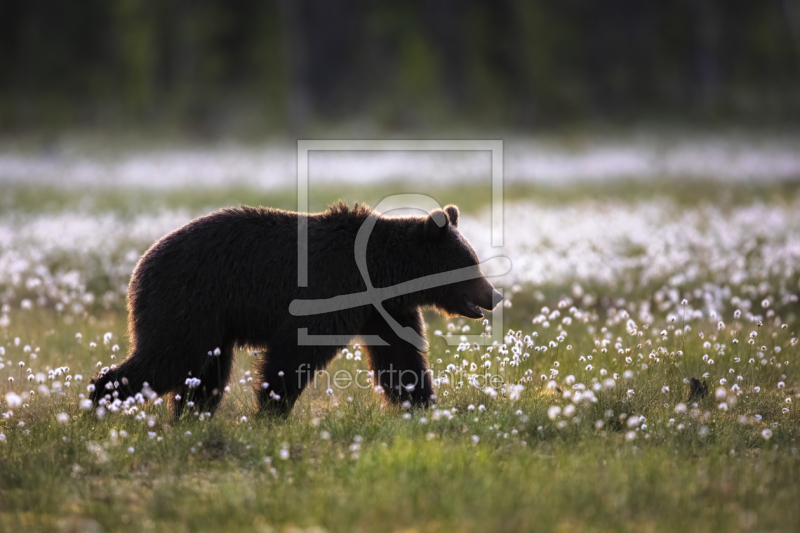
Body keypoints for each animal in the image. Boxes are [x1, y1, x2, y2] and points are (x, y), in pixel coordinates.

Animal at [87, 204, 500, 416]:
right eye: (471, 263)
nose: (493, 295)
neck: (382, 272)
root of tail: (139, 266)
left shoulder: (382, 310)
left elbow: (401, 359)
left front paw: (423, 405)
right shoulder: (331, 290)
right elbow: (294, 353)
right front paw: (272, 409)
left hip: (212, 323)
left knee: (204, 374)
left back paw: (191, 416)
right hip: (187, 301)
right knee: (169, 357)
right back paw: (98, 402)